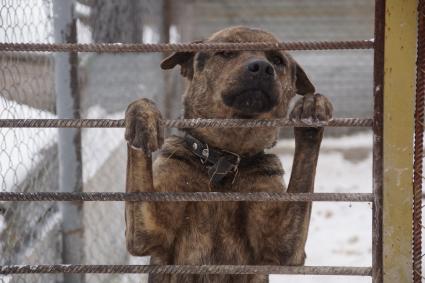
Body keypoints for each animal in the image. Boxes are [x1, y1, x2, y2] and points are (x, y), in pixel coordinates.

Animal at [124, 25, 332, 282]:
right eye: (226, 52)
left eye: (277, 60)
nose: (262, 67)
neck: (224, 158)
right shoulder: (147, 230)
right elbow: (142, 105)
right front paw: (142, 117)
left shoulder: (284, 244)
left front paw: (311, 111)